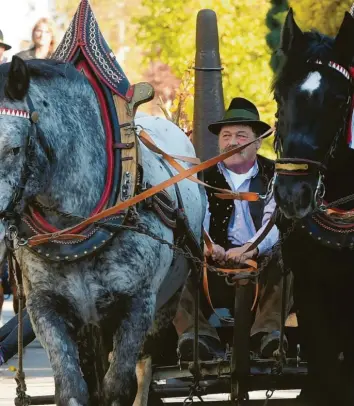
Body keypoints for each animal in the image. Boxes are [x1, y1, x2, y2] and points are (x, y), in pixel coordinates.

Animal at [0, 58, 203, 406]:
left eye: (13, 149)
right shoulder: (45, 308)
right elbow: (72, 389)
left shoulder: (138, 305)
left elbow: (119, 387)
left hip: (165, 304)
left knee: (143, 368)